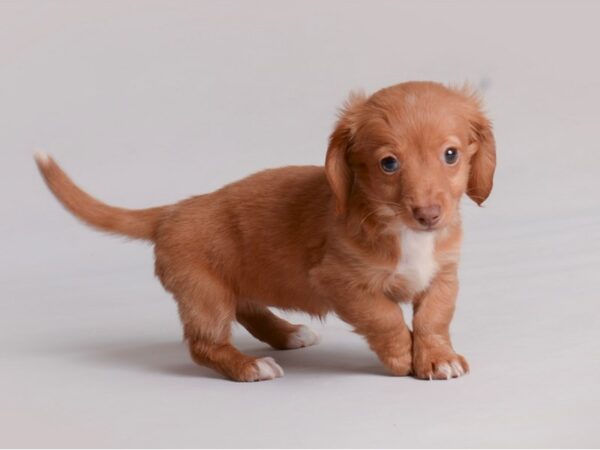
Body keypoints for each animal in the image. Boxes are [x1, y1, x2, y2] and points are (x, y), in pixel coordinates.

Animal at [36, 81, 496, 384]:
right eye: (388, 164)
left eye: (451, 155)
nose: (429, 215)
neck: (400, 229)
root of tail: (173, 211)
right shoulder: (340, 281)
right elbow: (383, 316)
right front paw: (402, 354)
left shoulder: (443, 275)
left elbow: (434, 318)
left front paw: (437, 358)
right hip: (205, 294)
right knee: (205, 344)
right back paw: (249, 366)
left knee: (248, 309)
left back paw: (287, 334)